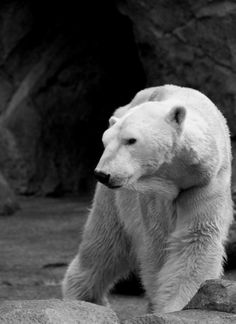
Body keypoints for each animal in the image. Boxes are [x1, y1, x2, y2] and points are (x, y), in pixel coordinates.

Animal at [61, 85, 233, 312]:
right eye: (105, 141)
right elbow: (157, 248)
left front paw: (180, 304)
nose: (102, 174)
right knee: (105, 244)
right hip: (115, 198)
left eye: (131, 140)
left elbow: (197, 237)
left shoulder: (205, 183)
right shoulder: (151, 195)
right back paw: (83, 299)